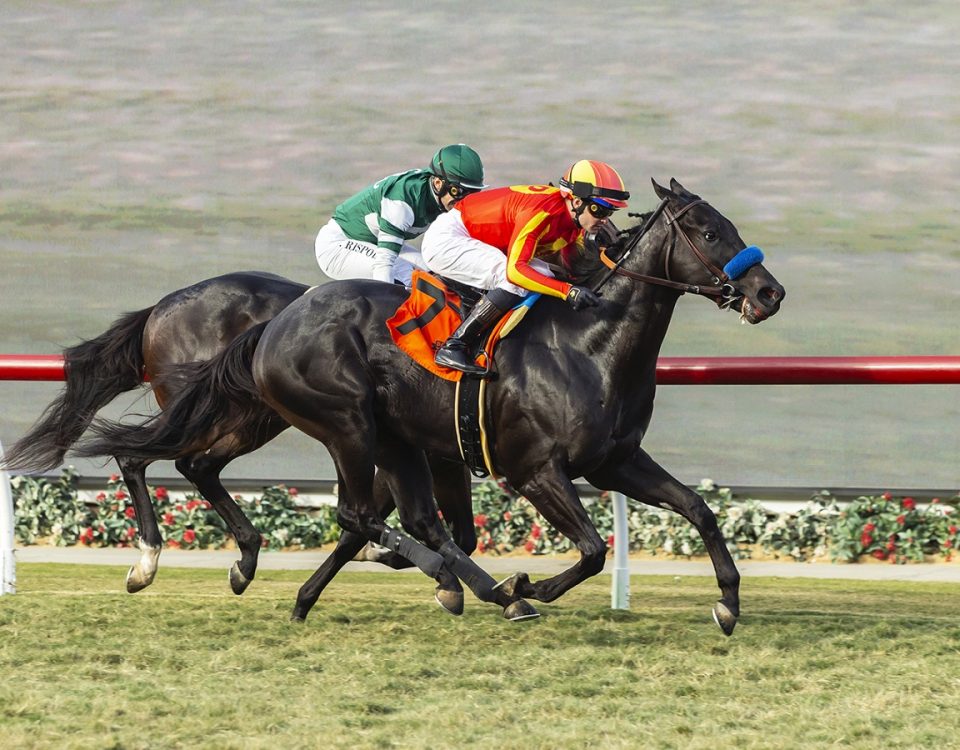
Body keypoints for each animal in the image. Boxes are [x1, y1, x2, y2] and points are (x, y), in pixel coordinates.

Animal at [80, 179, 788, 632]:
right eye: (709, 231)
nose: (769, 292)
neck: (590, 343)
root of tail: (276, 323)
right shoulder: (533, 471)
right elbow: (589, 549)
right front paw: (528, 585)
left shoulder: (613, 461)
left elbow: (699, 509)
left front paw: (728, 603)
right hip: (341, 422)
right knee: (346, 509)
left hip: (351, 431)